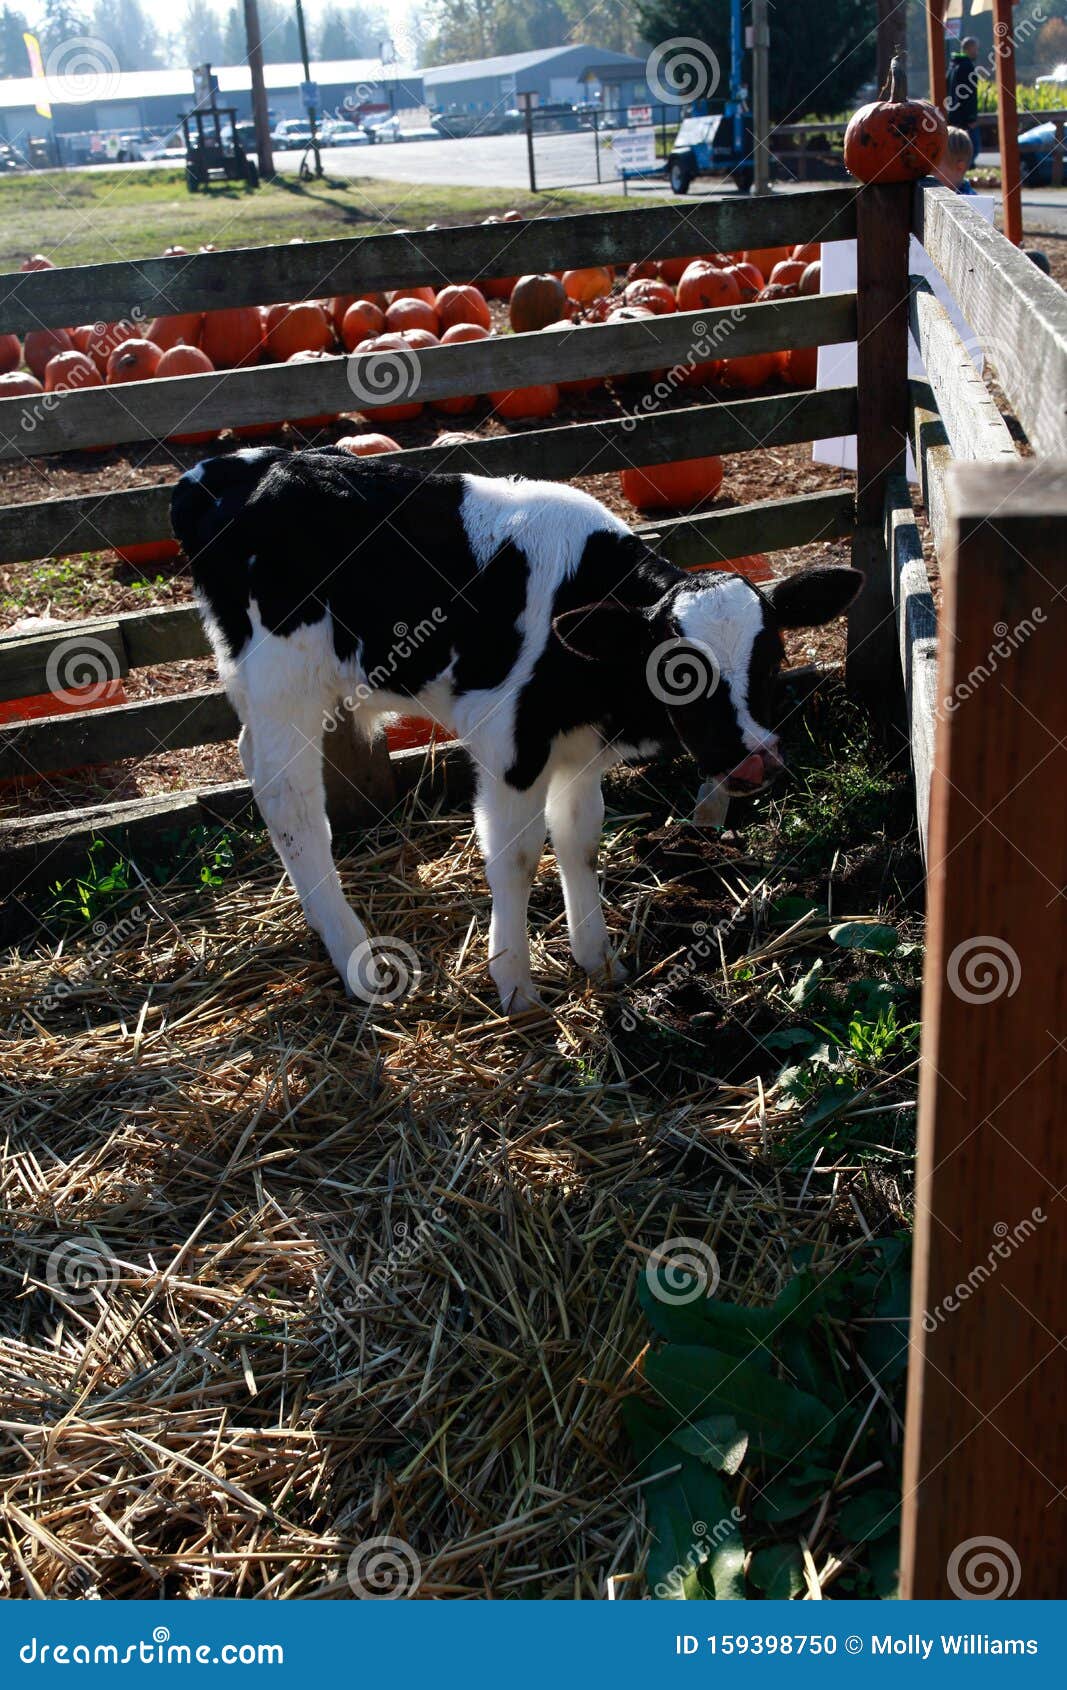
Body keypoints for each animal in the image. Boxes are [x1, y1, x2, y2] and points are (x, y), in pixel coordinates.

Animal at [170, 442, 865, 1007]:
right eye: (677, 672)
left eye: (774, 657)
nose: (755, 759)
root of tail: (232, 469)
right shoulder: (509, 746)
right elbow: (518, 858)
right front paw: (515, 983)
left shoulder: (579, 752)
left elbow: (580, 841)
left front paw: (598, 961)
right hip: (281, 684)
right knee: (293, 806)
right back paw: (356, 958)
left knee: (256, 767)